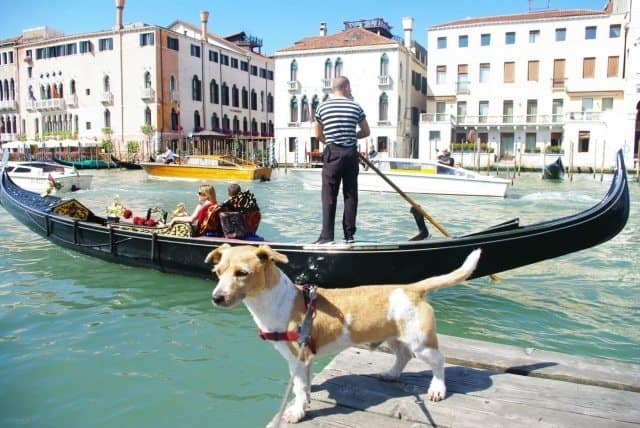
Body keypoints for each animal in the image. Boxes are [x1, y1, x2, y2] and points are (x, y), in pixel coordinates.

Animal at [205, 242, 480, 422]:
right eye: (217, 273)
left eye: (242, 273)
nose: (216, 298)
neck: (274, 300)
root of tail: (412, 288)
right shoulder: (304, 358)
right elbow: (303, 384)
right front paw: (305, 398)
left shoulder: (298, 357)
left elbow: (299, 388)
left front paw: (297, 411)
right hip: (393, 337)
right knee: (403, 356)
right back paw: (391, 374)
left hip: (421, 342)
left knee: (438, 362)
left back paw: (437, 389)